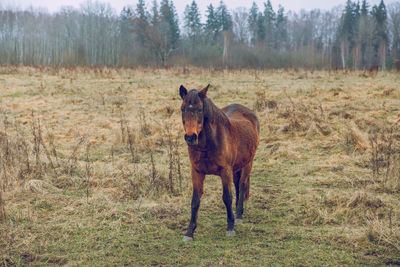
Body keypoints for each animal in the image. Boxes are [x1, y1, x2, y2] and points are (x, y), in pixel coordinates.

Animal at [180, 85, 260, 242]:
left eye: (200, 109)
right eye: (183, 108)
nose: (191, 137)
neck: (208, 144)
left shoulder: (225, 171)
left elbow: (227, 197)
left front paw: (230, 228)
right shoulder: (196, 172)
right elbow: (195, 201)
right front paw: (189, 232)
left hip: (248, 164)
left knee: (242, 185)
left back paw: (238, 215)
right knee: (238, 186)